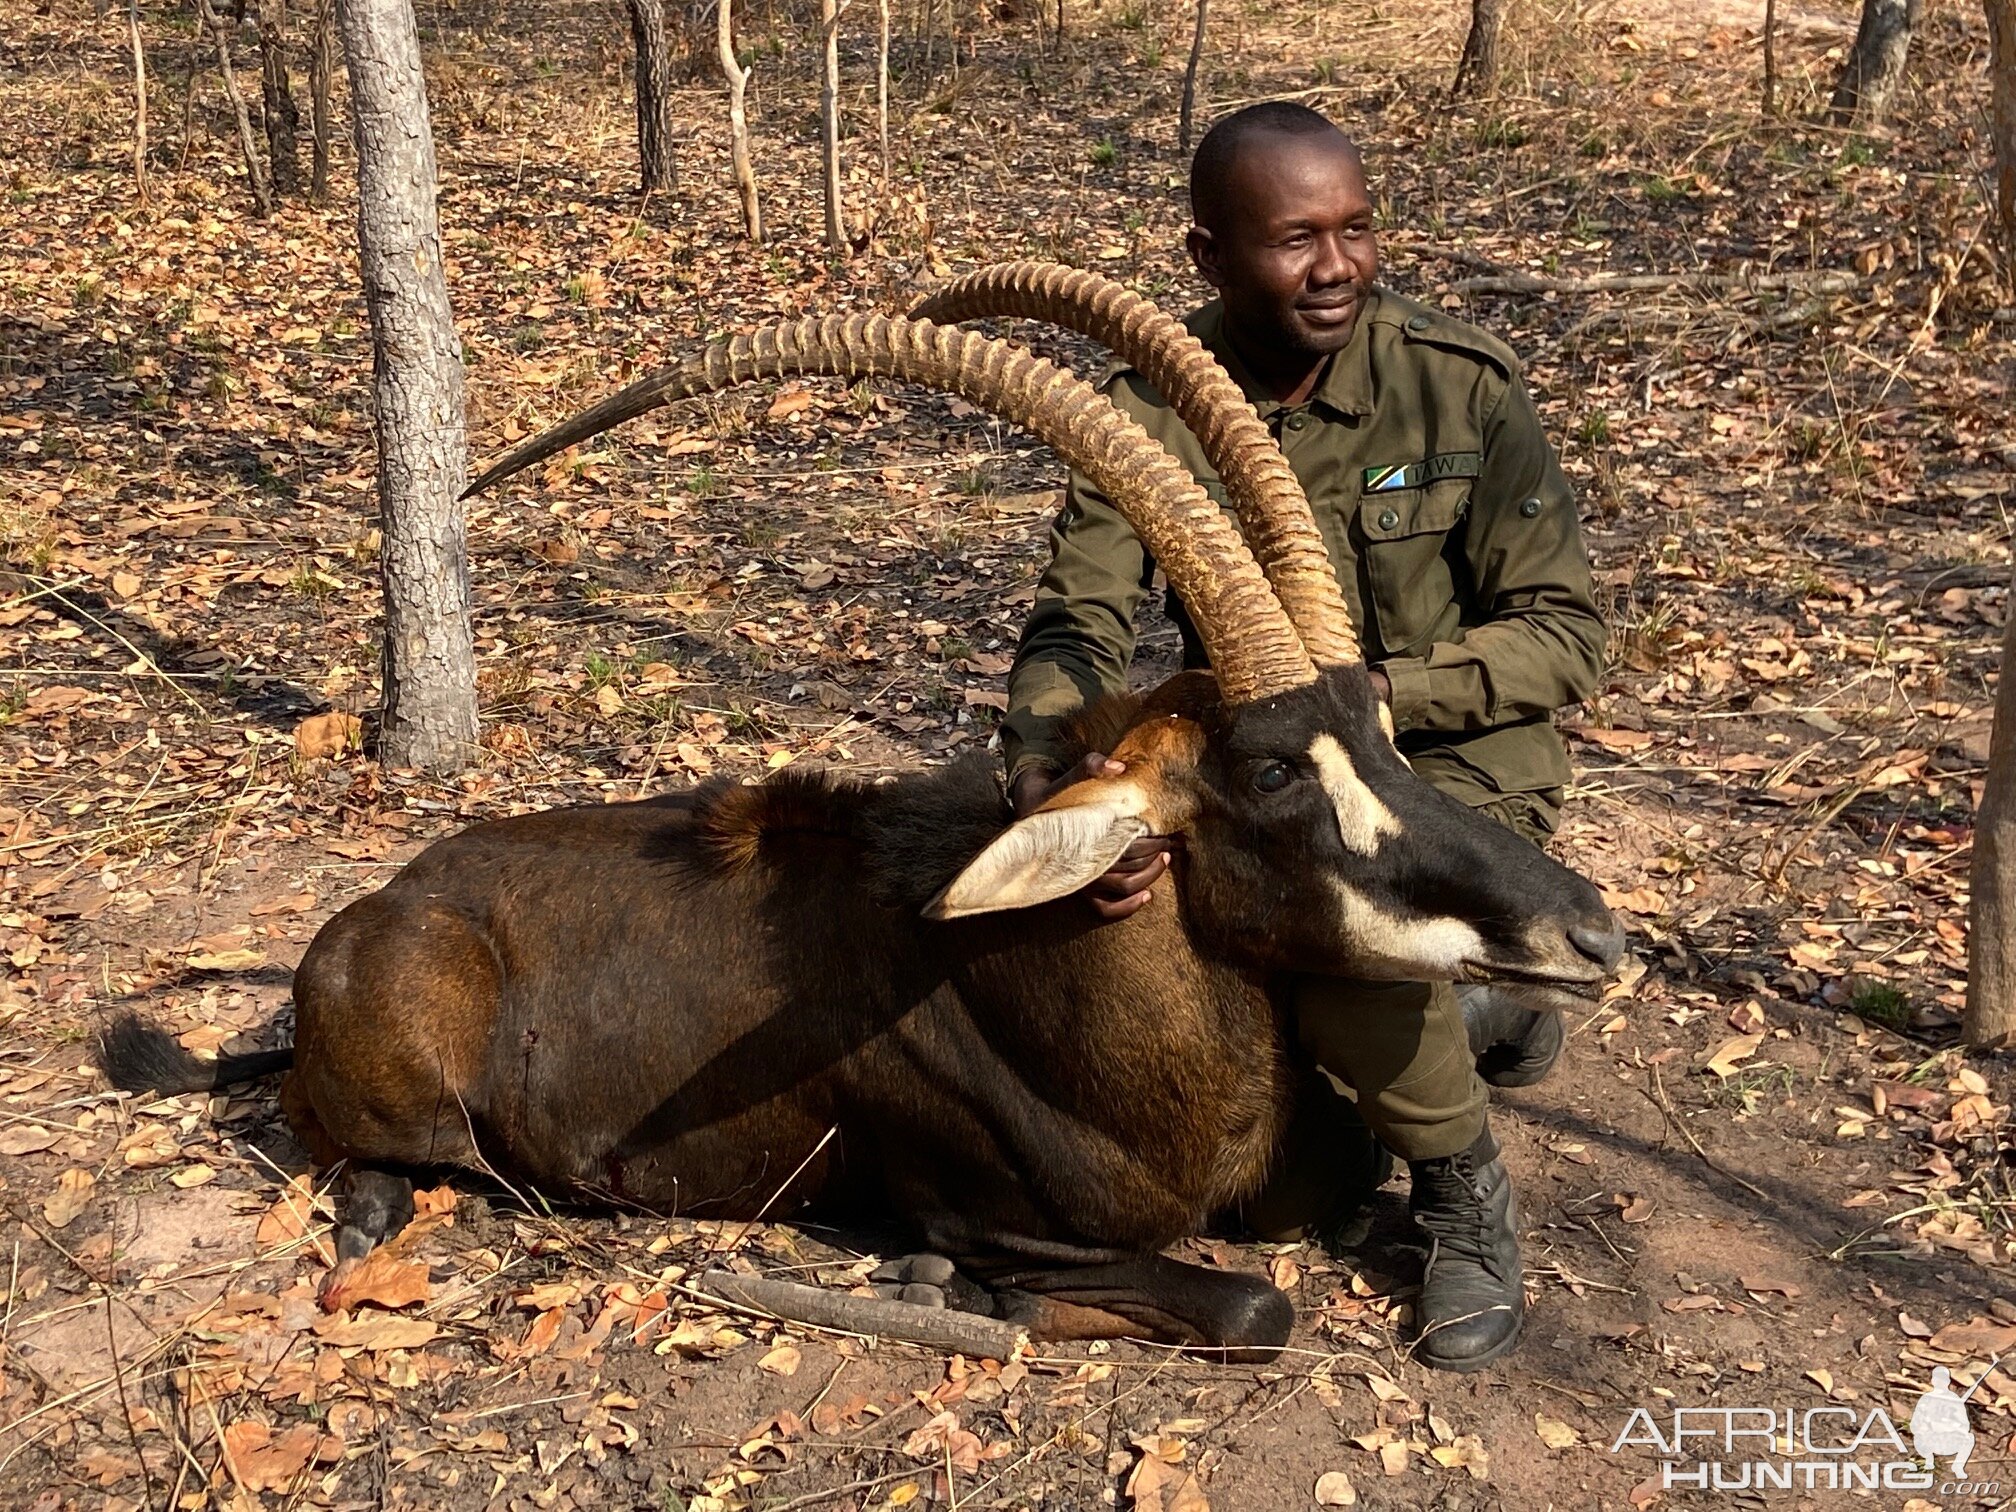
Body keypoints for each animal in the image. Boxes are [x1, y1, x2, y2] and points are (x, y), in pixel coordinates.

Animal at [102, 264, 1628, 1362]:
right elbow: (1251, 1303)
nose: (1595, 935)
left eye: (1380, 722)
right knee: (364, 1164)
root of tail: (364, 922)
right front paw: (939, 1283)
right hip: (422, 1114)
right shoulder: (995, 1215)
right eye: (1271, 776)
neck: (1052, 975)